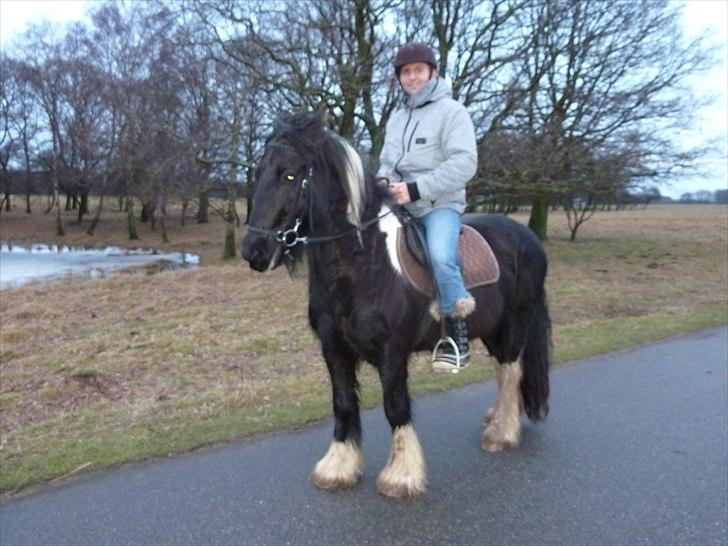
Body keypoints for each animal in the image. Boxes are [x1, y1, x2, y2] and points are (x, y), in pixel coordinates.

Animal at [242, 108, 548, 496]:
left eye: (290, 174)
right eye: (260, 172)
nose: (253, 251)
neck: (363, 263)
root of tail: (528, 237)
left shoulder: (392, 352)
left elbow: (396, 407)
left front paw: (401, 475)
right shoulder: (334, 349)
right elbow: (343, 404)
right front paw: (338, 467)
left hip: (514, 325)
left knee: (511, 370)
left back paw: (502, 433)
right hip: (492, 329)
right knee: (504, 371)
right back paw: (498, 420)